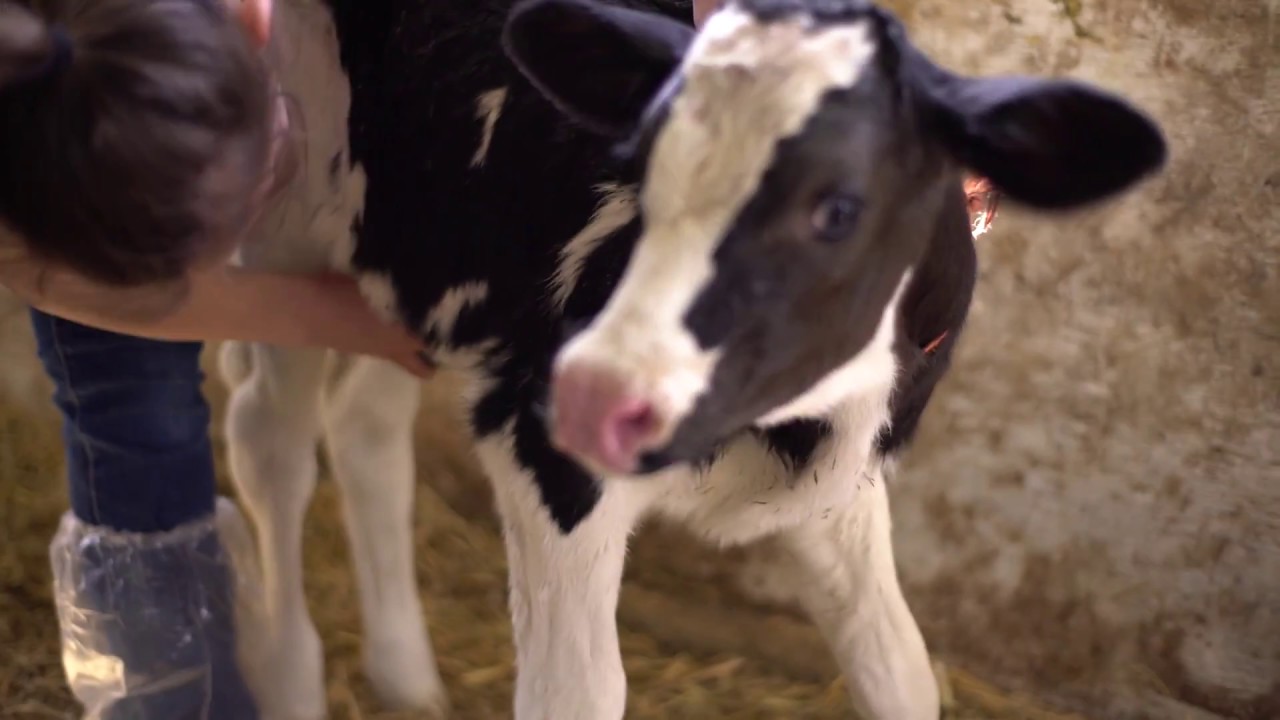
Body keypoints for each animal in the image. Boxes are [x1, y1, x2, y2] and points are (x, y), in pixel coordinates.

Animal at [217, 0, 1167, 718]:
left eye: (839, 208)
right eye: (639, 168)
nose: (594, 393)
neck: (787, 420)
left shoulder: (842, 481)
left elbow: (899, 667)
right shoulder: (549, 464)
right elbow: (577, 695)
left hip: (415, 242)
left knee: (365, 423)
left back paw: (406, 676)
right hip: (290, 207)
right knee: (268, 436)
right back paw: (292, 680)